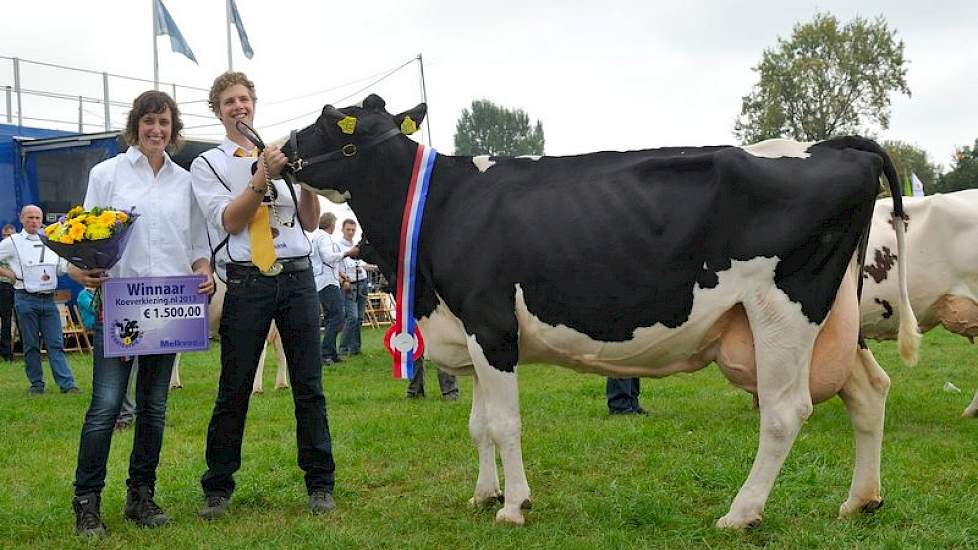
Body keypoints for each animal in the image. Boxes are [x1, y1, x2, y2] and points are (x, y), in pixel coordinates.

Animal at [280, 96, 916, 532]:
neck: (440, 205)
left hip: (783, 309)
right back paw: (861, 500)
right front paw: (485, 495)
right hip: (836, 315)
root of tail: (834, 145)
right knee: (869, 390)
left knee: (785, 412)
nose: (280, 149)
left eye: (330, 120)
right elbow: (479, 424)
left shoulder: (490, 324)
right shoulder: (470, 330)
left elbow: (504, 424)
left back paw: (741, 513)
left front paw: (514, 506)